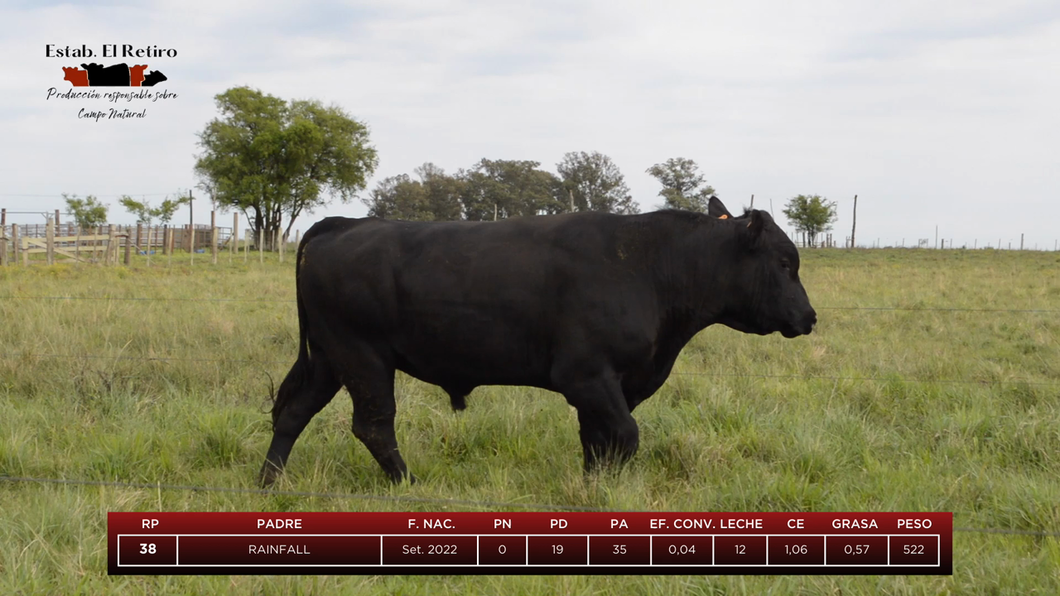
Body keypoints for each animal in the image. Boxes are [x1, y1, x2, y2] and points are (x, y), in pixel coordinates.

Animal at [258, 197, 818, 485]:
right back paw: (408, 484)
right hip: (363, 358)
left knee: (293, 413)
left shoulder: (609, 385)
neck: (650, 266)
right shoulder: (586, 376)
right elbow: (625, 435)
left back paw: (270, 483)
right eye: (784, 263)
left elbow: (599, 441)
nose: (810, 317)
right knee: (373, 426)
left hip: (330, 358)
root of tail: (342, 223)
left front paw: (595, 491)